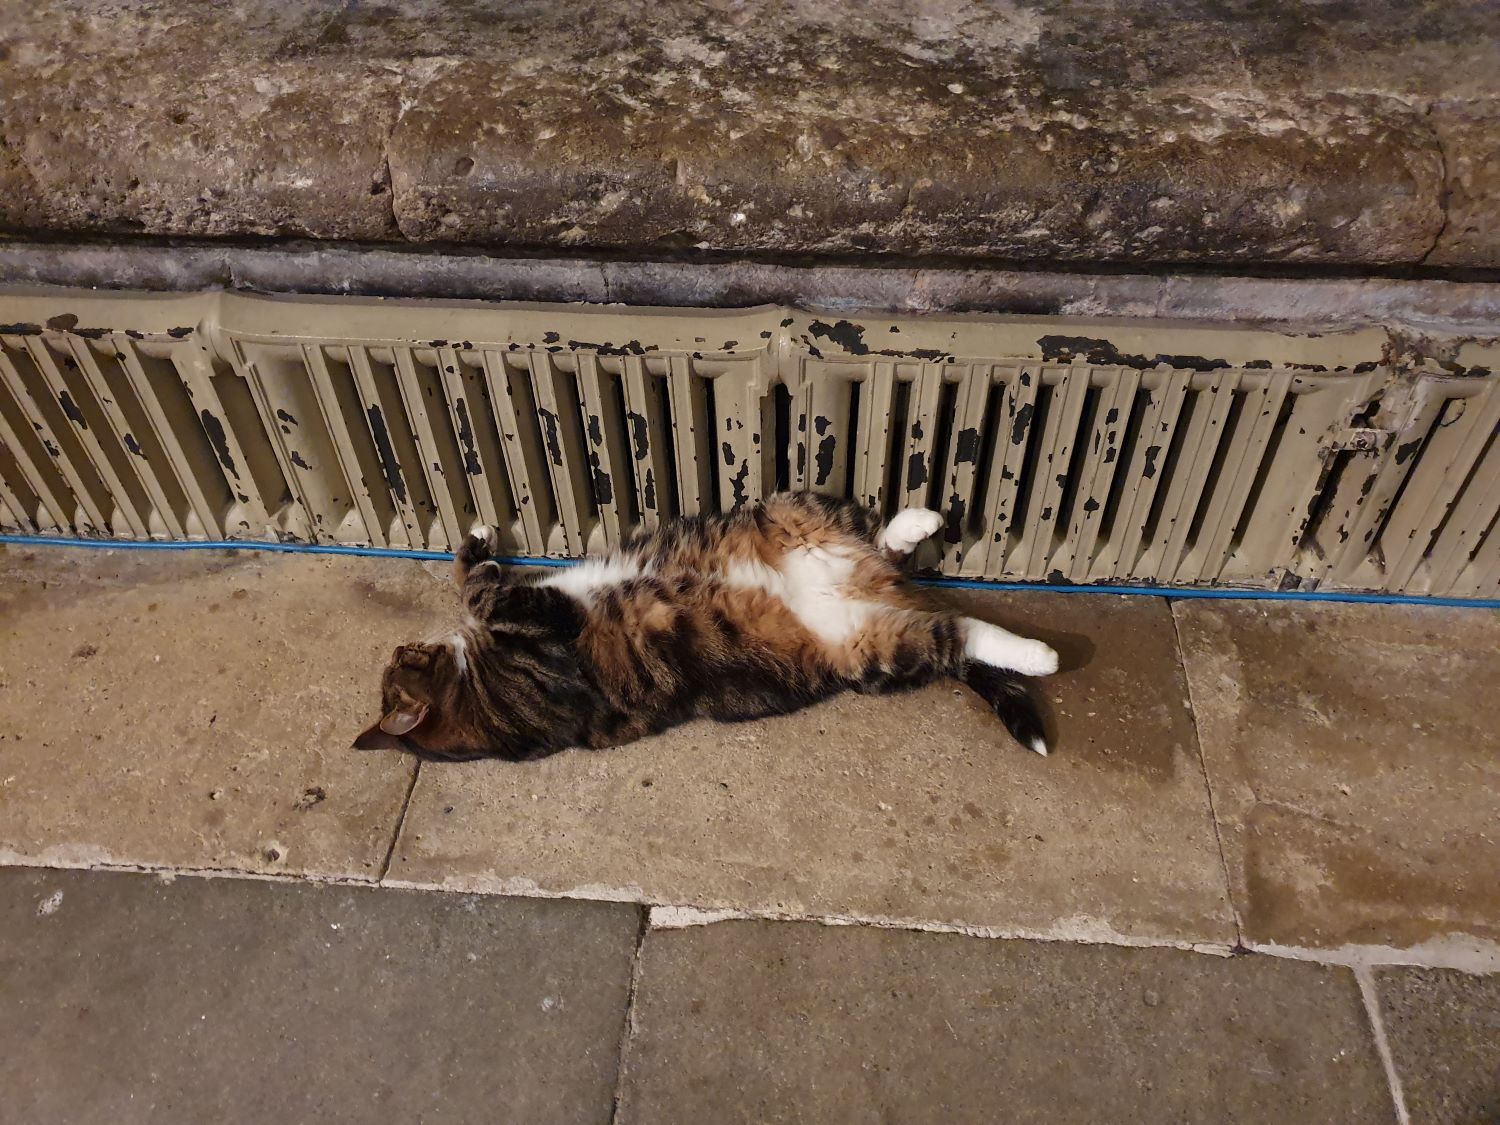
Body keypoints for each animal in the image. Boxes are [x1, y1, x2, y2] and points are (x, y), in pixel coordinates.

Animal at [354, 492, 1059, 761]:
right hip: (876, 651)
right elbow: (483, 595)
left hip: (797, 509)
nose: (405, 646)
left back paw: (918, 521)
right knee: (957, 633)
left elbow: (471, 581)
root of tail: (858, 584)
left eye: (400, 656)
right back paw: (1040, 654)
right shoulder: (550, 645)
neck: (474, 695)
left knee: (884, 544)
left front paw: (475, 538)